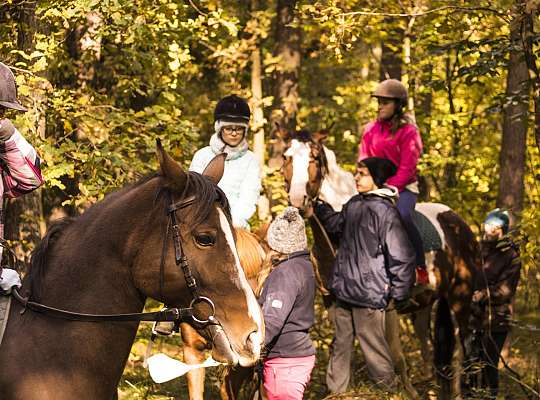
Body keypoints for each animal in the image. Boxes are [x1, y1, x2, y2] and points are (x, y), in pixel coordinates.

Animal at [278, 129, 476, 400]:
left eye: (314, 157)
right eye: (286, 156)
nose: (299, 199)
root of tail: (457, 221)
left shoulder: (387, 306)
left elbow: (394, 353)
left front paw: (406, 391)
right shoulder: (333, 301)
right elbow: (343, 347)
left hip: (460, 298)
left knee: (458, 350)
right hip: (426, 303)